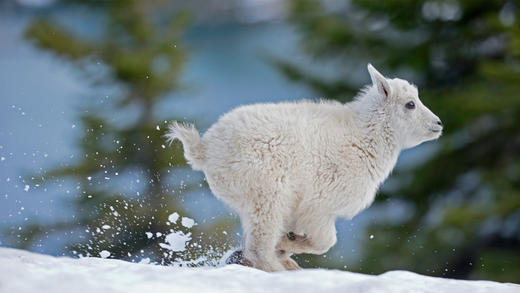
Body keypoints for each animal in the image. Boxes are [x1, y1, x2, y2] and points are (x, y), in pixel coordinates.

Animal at [167, 64, 442, 272]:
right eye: (410, 104)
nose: (438, 124)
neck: (364, 138)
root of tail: (205, 151)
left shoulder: (299, 211)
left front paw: (285, 244)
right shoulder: (319, 207)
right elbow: (326, 242)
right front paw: (286, 243)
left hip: (253, 201)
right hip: (267, 194)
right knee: (259, 246)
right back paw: (279, 269)